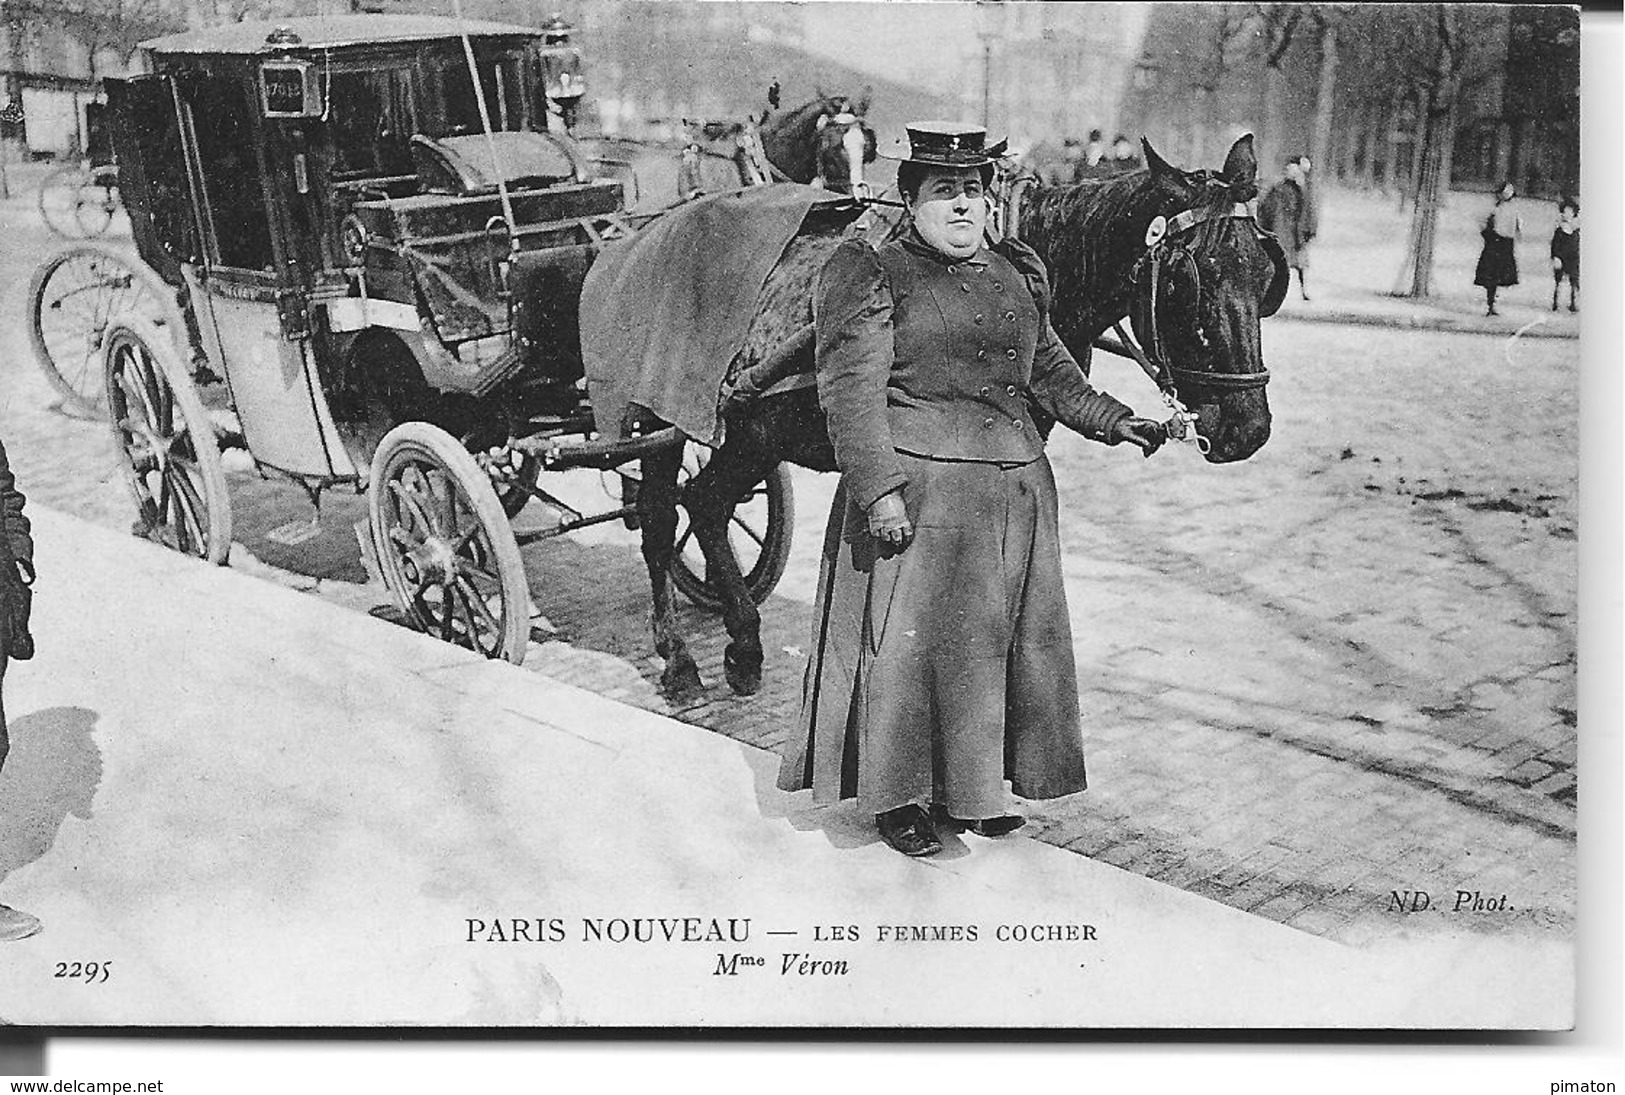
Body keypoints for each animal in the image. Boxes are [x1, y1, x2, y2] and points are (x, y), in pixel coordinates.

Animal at [633, 134, 1280, 692]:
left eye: (1266, 273)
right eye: (1187, 280)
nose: (1249, 427)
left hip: (751, 434)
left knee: (706, 504)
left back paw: (739, 639)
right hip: (671, 423)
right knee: (662, 516)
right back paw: (683, 656)